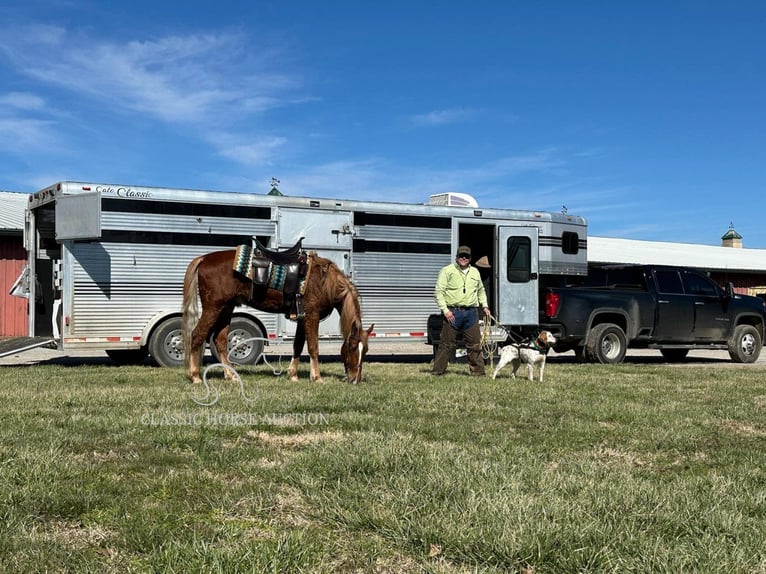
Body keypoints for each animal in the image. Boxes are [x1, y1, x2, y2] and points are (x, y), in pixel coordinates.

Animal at [180, 250, 372, 384]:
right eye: (352, 347)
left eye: (366, 350)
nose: (355, 379)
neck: (325, 282)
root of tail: (203, 259)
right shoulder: (312, 316)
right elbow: (313, 347)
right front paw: (317, 377)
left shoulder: (302, 318)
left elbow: (297, 345)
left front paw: (293, 375)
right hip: (213, 308)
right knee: (197, 335)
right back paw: (195, 376)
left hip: (226, 308)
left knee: (219, 340)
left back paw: (230, 375)